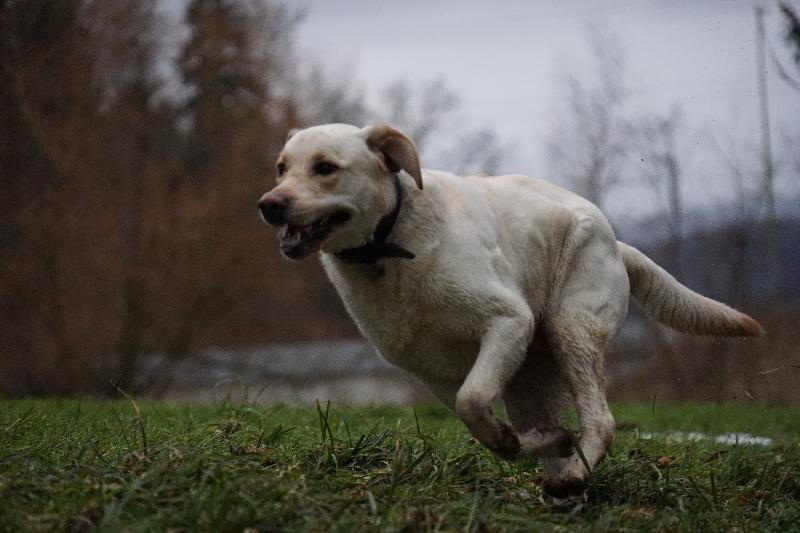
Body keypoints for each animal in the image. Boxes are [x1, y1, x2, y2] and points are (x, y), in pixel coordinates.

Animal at [258, 123, 764, 503]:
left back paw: (574, 472)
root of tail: (617, 244)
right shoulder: (432, 372)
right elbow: (485, 424)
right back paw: (563, 476)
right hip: (531, 375)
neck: (389, 246)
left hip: (571, 330)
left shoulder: (508, 322)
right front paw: (530, 442)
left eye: (325, 168)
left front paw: (521, 442)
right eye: (281, 168)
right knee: (549, 426)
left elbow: (475, 403)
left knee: (600, 420)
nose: (269, 205)